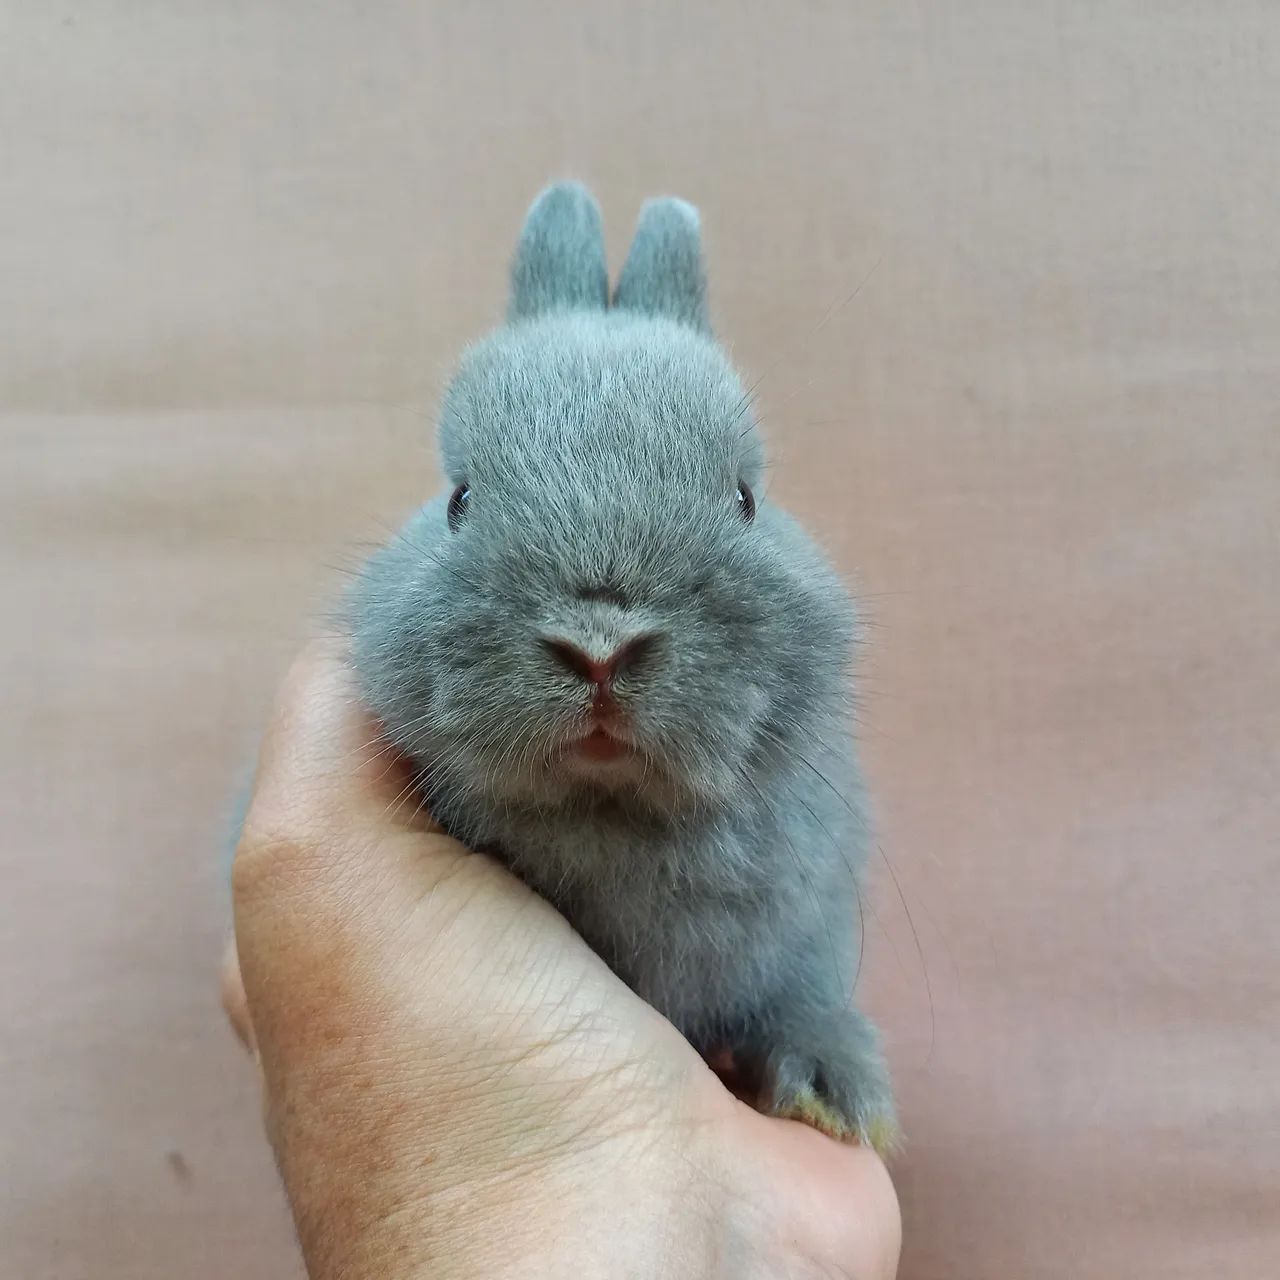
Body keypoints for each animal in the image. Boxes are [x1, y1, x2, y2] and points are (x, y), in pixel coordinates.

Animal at [348, 182, 897, 1152]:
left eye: (745, 498)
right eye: (459, 500)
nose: (598, 649)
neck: (612, 812)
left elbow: (798, 999)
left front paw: (831, 1087)